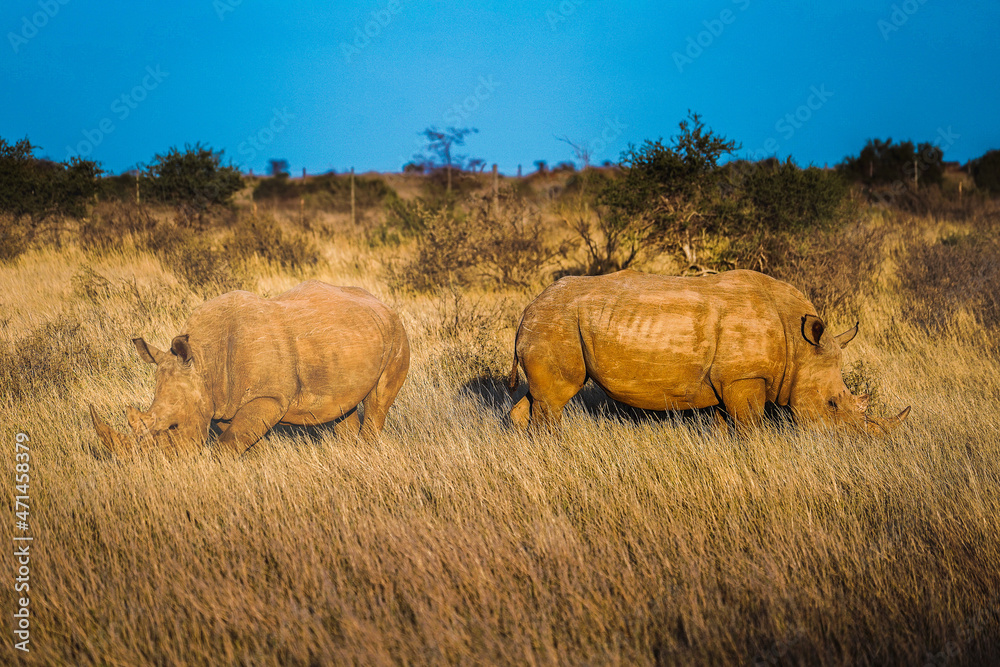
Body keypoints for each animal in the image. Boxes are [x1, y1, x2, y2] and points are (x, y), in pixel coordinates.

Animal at [91, 280, 410, 456]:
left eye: (174, 427)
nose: (153, 466)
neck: (204, 362)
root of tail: (380, 302)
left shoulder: (269, 396)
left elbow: (229, 444)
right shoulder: (221, 402)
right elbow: (240, 440)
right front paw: (259, 464)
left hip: (396, 333)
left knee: (378, 402)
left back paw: (365, 451)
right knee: (343, 406)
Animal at [507, 269, 909, 434]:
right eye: (832, 405)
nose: (862, 442)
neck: (799, 347)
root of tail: (527, 308)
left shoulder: (727, 382)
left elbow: (724, 426)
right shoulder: (745, 377)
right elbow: (750, 428)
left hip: (549, 323)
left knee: (537, 397)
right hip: (556, 324)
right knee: (555, 398)